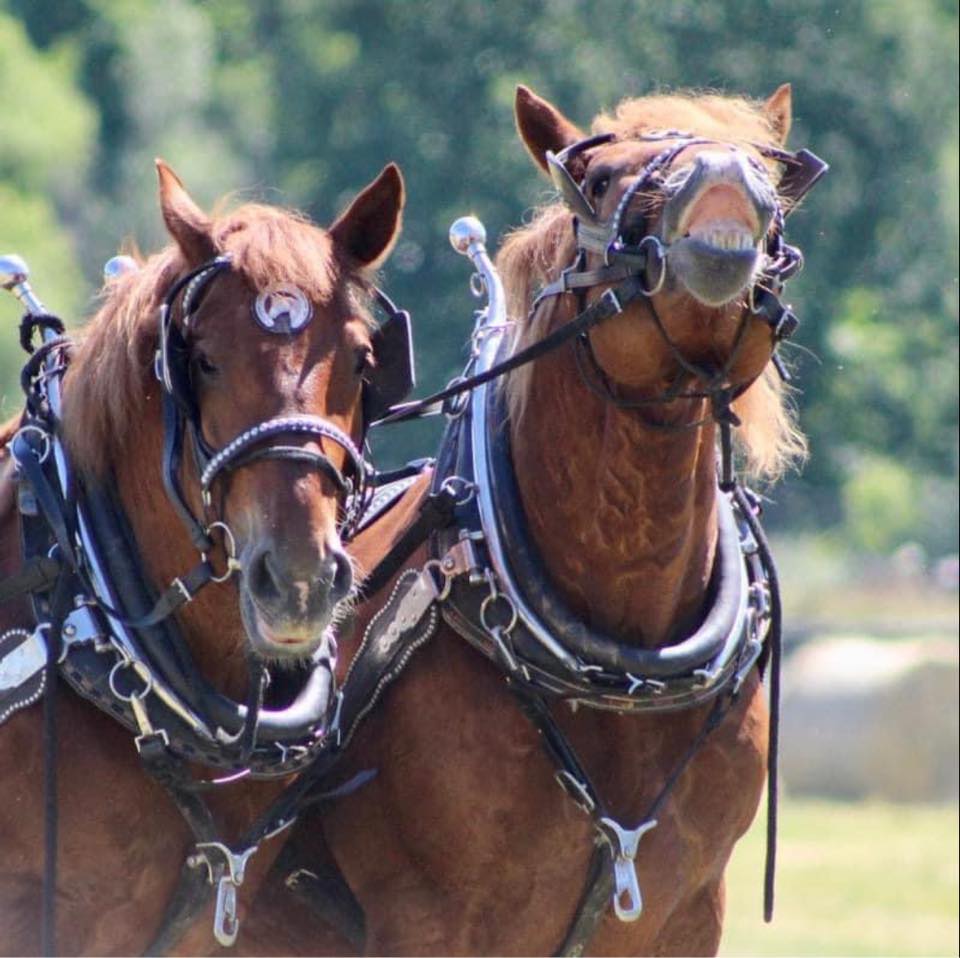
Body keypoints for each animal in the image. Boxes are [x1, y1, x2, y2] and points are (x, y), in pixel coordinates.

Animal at [239, 82, 826, 956]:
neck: (619, 665)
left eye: (770, 178)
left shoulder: (686, 916)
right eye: (602, 178)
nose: (724, 179)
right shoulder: (428, 920)